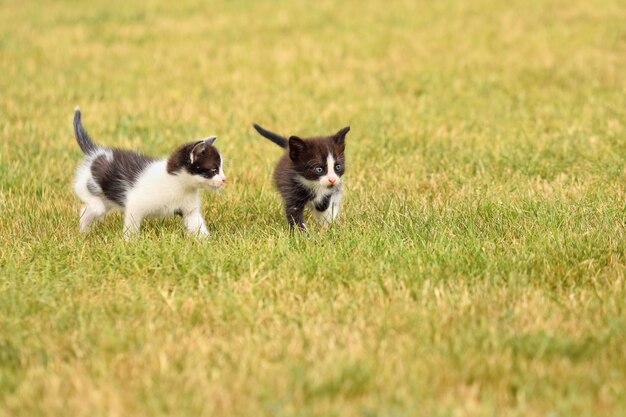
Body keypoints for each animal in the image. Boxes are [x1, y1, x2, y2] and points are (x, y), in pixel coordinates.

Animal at [72, 107, 225, 239]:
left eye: (221, 169)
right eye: (214, 170)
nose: (224, 179)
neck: (179, 184)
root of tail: (96, 153)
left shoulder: (189, 211)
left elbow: (197, 225)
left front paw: (207, 243)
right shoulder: (136, 203)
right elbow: (131, 224)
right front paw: (129, 242)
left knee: (85, 211)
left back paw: (84, 231)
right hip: (88, 182)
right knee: (88, 197)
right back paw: (92, 209)